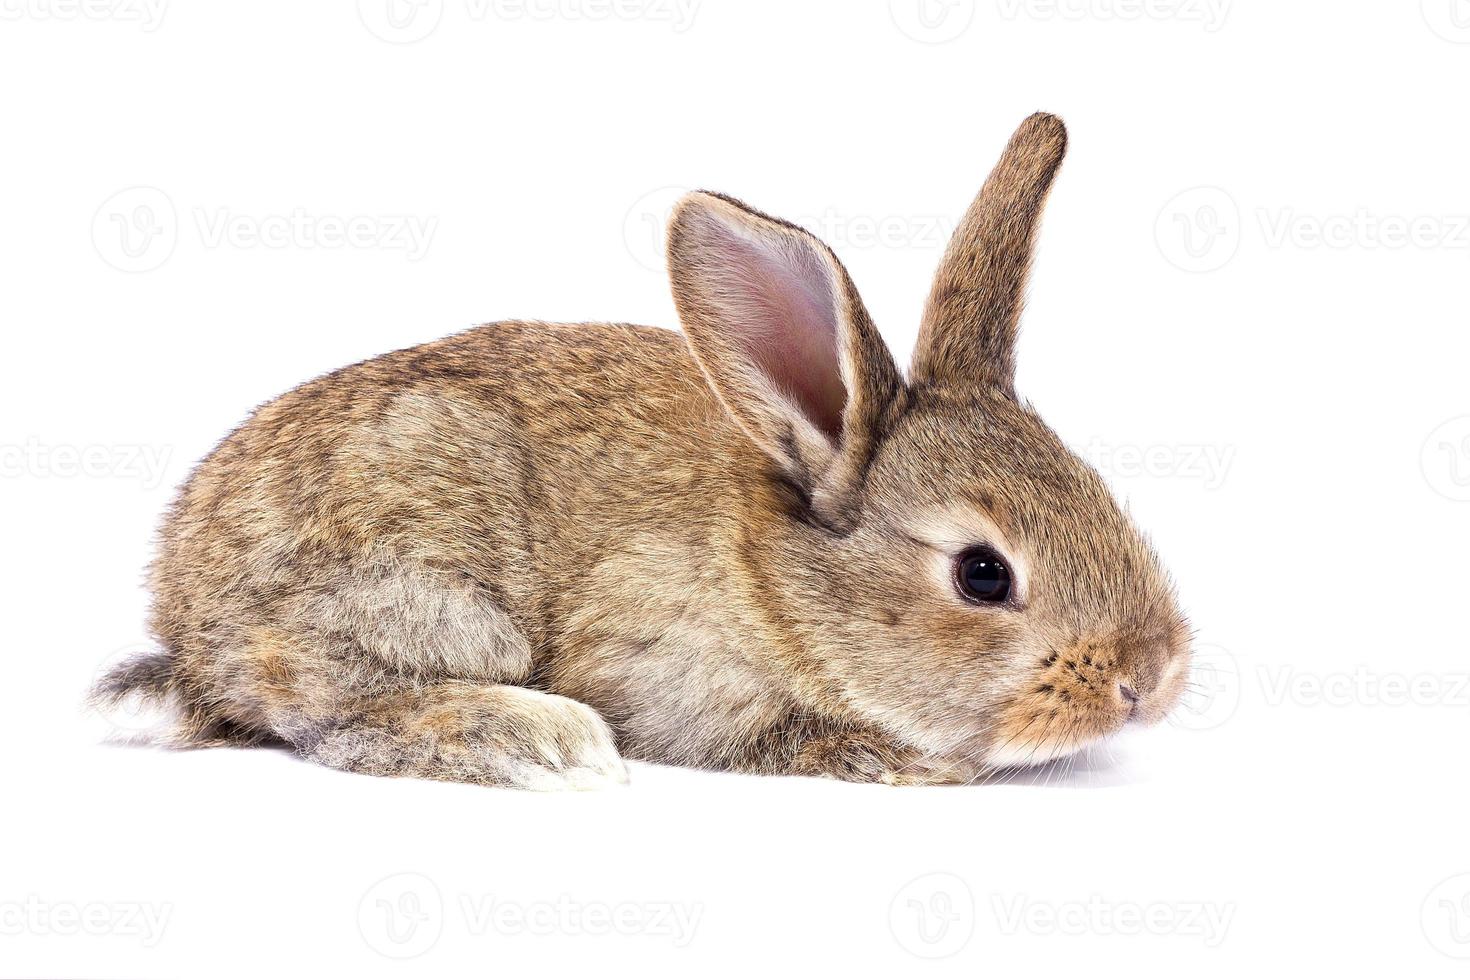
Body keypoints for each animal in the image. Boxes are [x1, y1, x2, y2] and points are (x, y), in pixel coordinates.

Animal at [91, 115, 1193, 787]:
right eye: (981, 573)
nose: (1150, 678)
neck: (780, 582)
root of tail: (188, 626)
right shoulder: (660, 669)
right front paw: (908, 761)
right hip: (431, 584)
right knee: (327, 705)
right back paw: (541, 741)